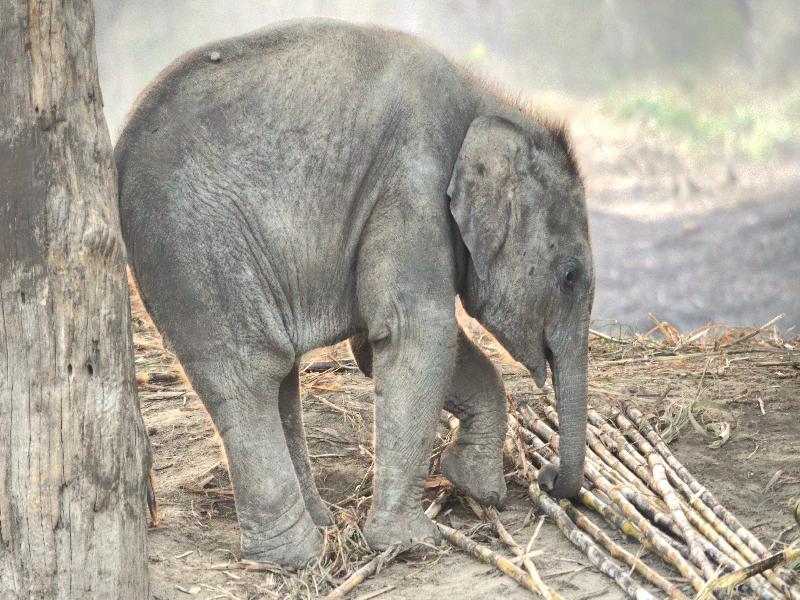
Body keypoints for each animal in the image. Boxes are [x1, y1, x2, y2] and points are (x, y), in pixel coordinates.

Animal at [115, 19, 594, 567]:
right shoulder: (410, 182)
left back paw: (322, 529)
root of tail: (115, 156)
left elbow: (381, 343)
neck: (490, 106)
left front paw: (476, 487)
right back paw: (298, 557)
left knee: (278, 376)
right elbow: (419, 334)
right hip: (198, 249)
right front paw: (409, 543)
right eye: (570, 277)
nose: (549, 478)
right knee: (250, 372)